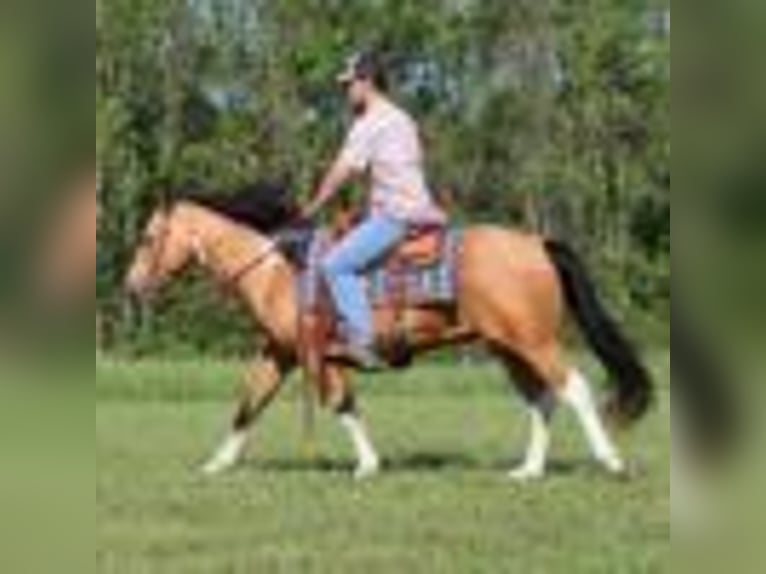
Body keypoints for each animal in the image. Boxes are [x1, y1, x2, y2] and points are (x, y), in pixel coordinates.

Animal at [124, 184, 656, 482]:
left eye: (149, 238)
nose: (132, 286)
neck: (279, 269)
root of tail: (536, 243)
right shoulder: (280, 351)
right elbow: (250, 403)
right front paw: (218, 464)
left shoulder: (315, 354)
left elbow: (340, 403)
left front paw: (366, 465)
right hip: (508, 348)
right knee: (543, 399)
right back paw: (529, 470)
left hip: (534, 340)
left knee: (574, 388)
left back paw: (610, 461)